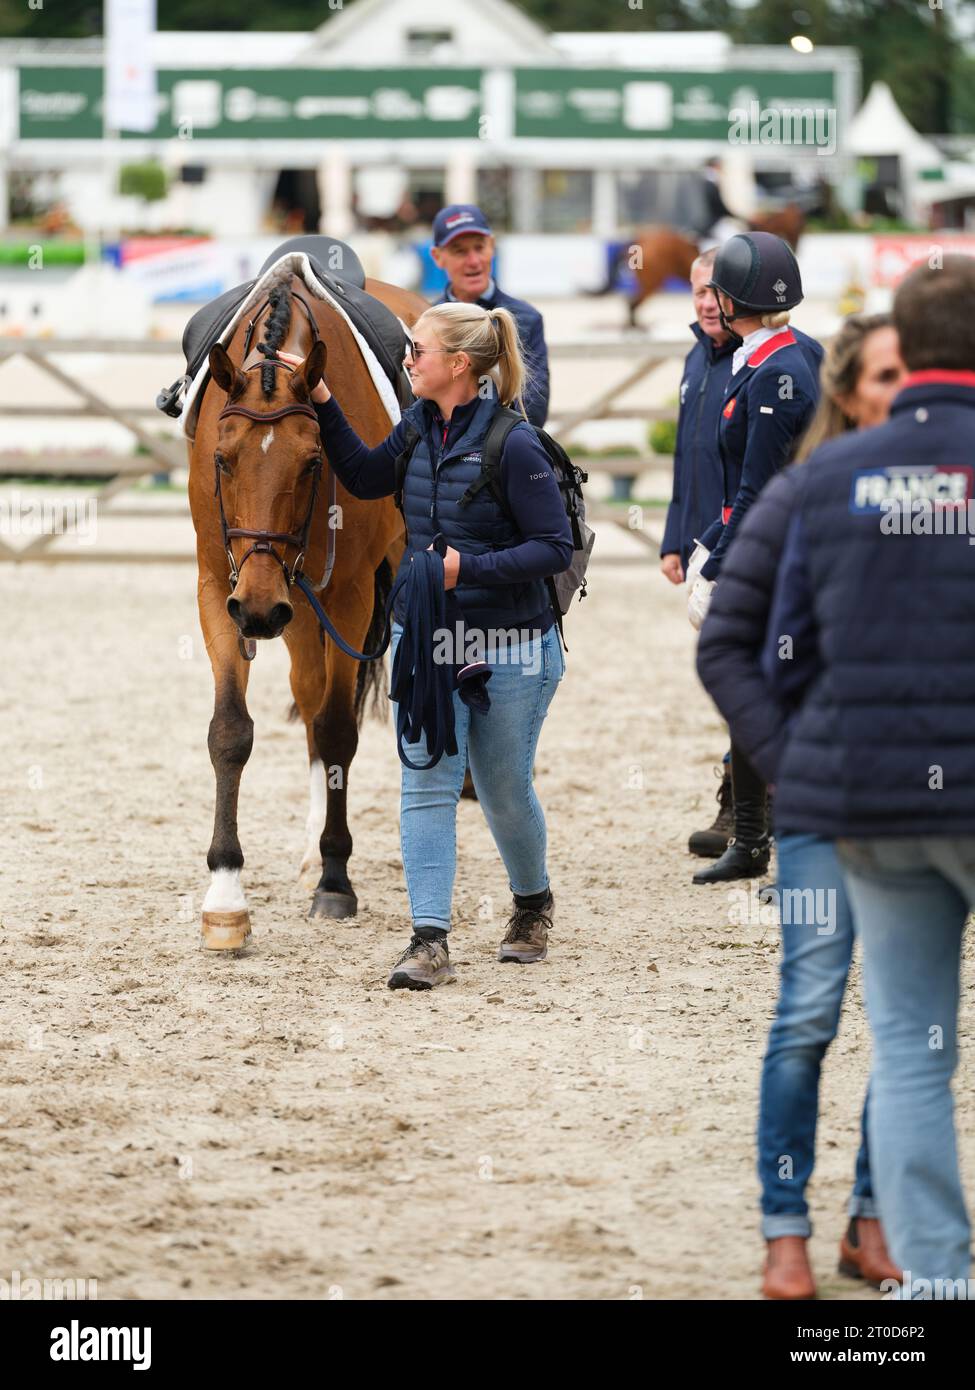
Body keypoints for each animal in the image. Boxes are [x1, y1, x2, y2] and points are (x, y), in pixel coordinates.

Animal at [187, 265, 422, 950]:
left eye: (314, 462)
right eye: (221, 459)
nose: (260, 612)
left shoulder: (348, 595)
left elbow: (340, 731)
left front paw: (336, 880)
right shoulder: (220, 589)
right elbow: (231, 732)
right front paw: (225, 894)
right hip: (290, 606)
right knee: (311, 696)